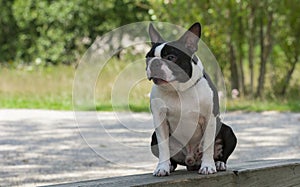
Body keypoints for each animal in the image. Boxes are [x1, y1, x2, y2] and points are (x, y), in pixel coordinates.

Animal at [145, 22, 237, 176]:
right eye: (148, 58)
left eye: (171, 57)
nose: (154, 62)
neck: (179, 90)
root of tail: (191, 161)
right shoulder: (160, 119)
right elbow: (163, 147)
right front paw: (162, 168)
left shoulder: (209, 118)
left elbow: (208, 145)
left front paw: (208, 166)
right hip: (153, 138)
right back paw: (170, 165)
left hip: (228, 131)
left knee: (221, 153)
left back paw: (218, 163)